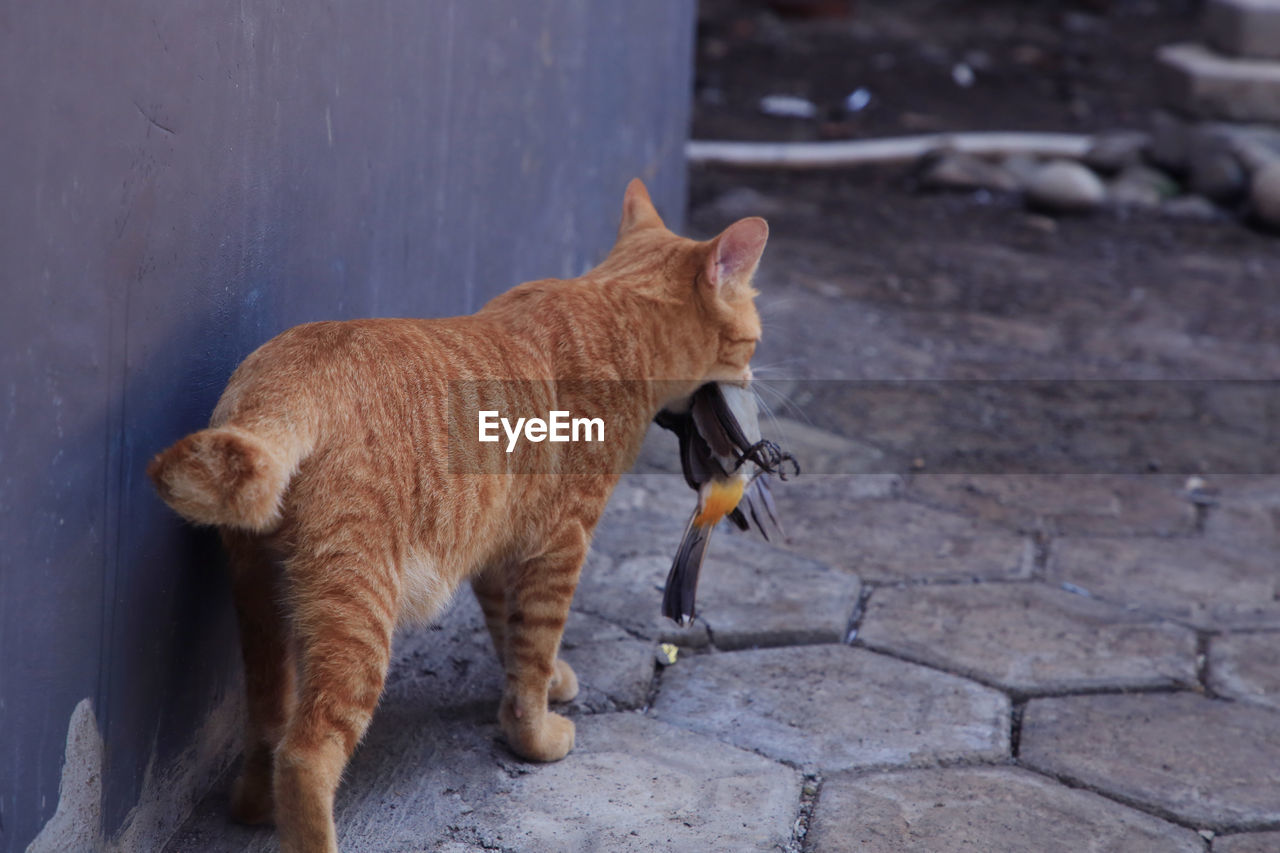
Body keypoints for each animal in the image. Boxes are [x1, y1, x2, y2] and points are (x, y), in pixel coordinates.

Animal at [149, 175, 768, 845]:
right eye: (753, 341)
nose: (754, 380)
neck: (616, 309)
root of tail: (285, 376)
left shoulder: (498, 549)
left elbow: (513, 637)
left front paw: (549, 683)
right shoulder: (561, 545)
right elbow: (535, 647)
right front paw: (535, 734)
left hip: (262, 607)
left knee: (267, 722)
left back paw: (254, 807)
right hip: (358, 613)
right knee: (305, 751)